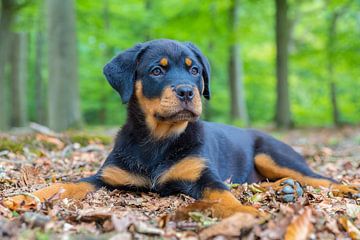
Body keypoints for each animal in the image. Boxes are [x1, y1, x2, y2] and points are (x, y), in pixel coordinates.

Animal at [3, 39, 360, 218]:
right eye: (157, 71)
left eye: (195, 70)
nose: (187, 91)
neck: (158, 140)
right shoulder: (106, 177)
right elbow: (68, 183)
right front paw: (24, 197)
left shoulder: (204, 176)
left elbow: (224, 195)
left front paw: (244, 212)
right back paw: (286, 190)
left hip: (273, 154)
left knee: (321, 179)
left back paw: (341, 188)